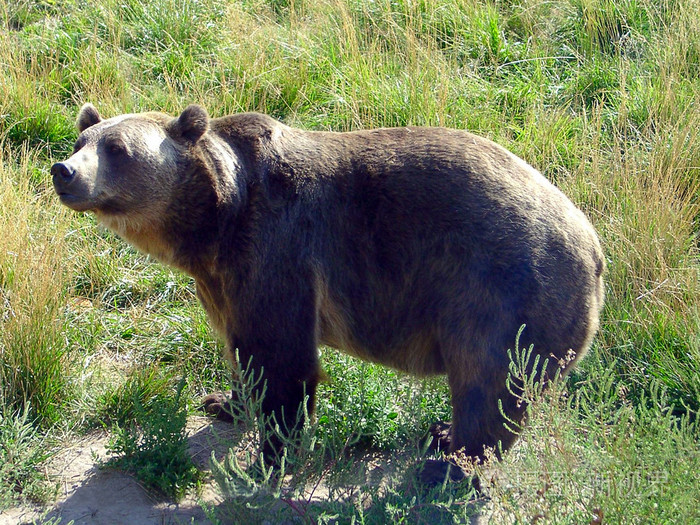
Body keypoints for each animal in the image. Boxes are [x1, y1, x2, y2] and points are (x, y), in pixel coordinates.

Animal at [52, 103, 604, 481]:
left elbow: (281, 358)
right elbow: (238, 345)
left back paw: (451, 465)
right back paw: (443, 437)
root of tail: (595, 248)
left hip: (503, 290)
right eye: (81, 138)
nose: (63, 170)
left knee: (489, 386)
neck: (215, 221)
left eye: (117, 149)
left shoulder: (278, 250)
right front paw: (223, 401)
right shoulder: (222, 279)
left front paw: (268, 460)